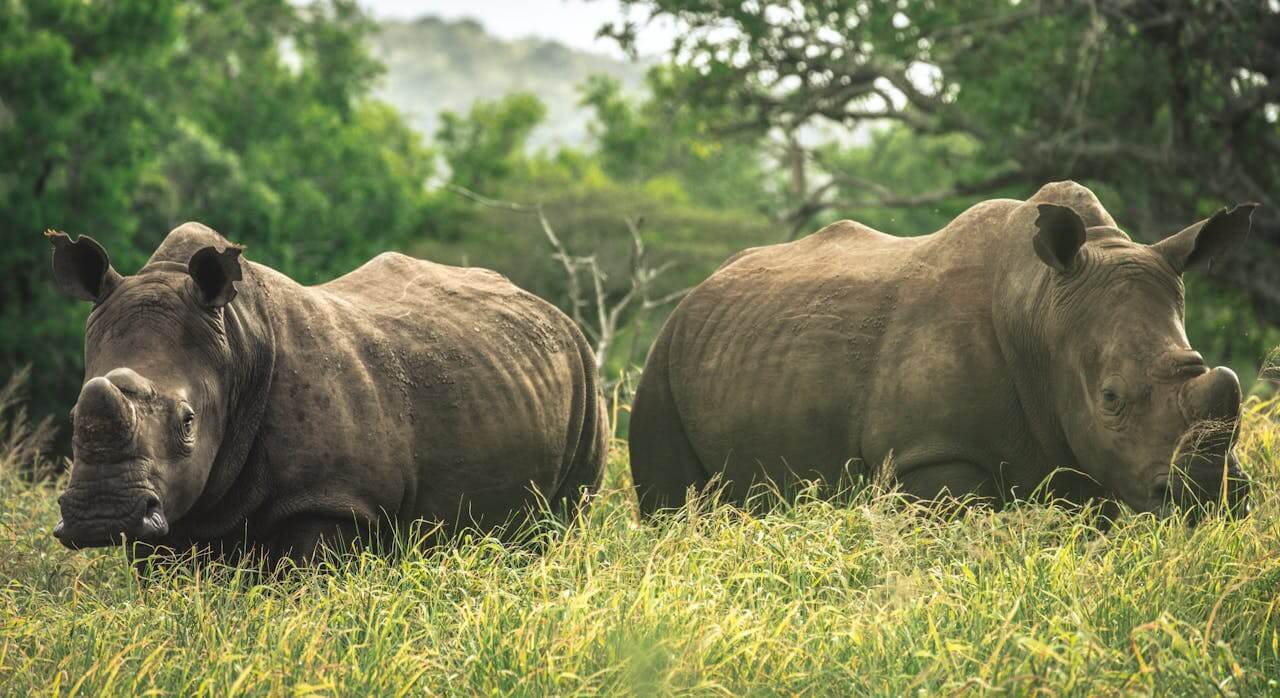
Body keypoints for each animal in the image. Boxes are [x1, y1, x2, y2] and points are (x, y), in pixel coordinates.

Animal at [49, 222, 609, 560]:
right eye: (72, 419)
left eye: (188, 422)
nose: (103, 516)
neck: (237, 343)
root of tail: (555, 312)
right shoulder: (168, 509)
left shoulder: (333, 498)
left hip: (586, 380)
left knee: (563, 520)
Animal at [634, 179, 1254, 517]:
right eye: (1111, 398)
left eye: (1199, 367)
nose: (1207, 502)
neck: (1042, 309)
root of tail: (699, 288)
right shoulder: (930, 450)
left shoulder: (1086, 458)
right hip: (660, 358)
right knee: (670, 505)